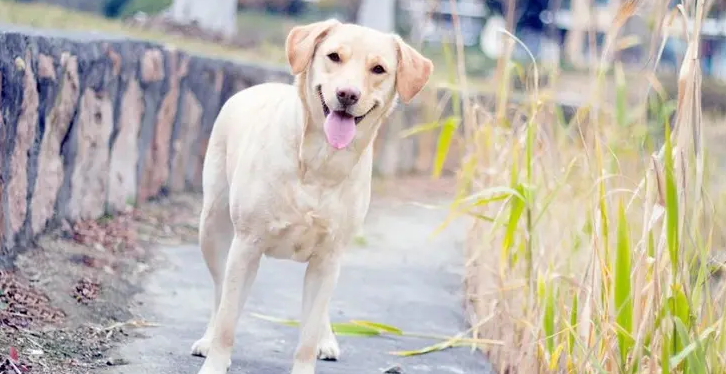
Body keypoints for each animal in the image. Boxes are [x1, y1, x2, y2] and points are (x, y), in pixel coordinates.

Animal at [191, 18, 436, 374]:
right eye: (334, 56)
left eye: (378, 68)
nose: (347, 94)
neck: (321, 162)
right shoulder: (246, 244)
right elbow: (227, 318)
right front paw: (216, 360)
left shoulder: (328, 257)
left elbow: (307, 333)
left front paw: (313, 347)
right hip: (212, 227)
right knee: (220, 292)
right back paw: (208, 339)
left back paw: (326, 338)